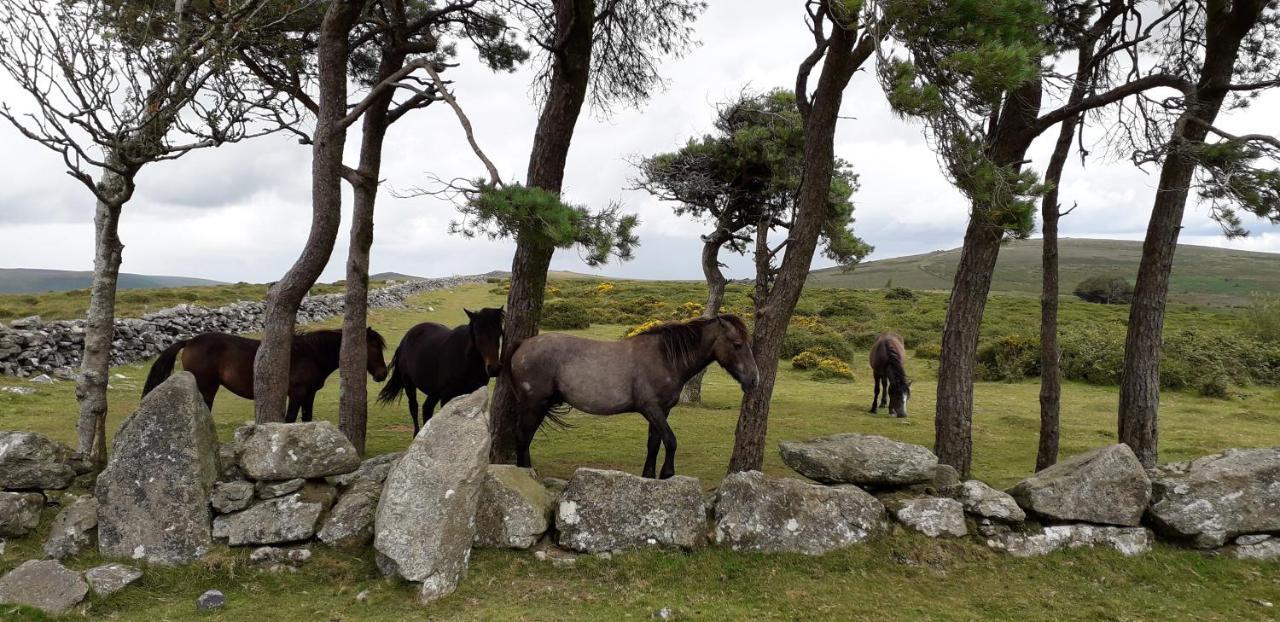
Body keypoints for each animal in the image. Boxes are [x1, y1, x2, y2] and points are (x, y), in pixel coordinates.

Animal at [140, 325, 386, 422]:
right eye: (373, 348)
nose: (382, 374)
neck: (311, 354)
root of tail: (190, 341)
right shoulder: (297, 393)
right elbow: (290, 419)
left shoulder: (309, 395)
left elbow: (306, 418)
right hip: (206, 387)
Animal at [373, 307, 504, 435]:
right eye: (477, 334)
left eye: (499, 333)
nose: (494, 368)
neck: (467, 361)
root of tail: (405, 339)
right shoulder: (447, 396)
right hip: (409, 383)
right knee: (414, 407)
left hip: (434, 392)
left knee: (427, 409)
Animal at [501, 316, 757, 481]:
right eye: (737, 344)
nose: (754, 380)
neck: (664, 358)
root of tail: (524, 343)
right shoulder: (651, 408)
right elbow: (671, 440)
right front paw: (666, 473)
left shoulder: (661, 411)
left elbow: (654, 443)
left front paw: (649, 476)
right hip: (534, 405)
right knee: (523, 437)